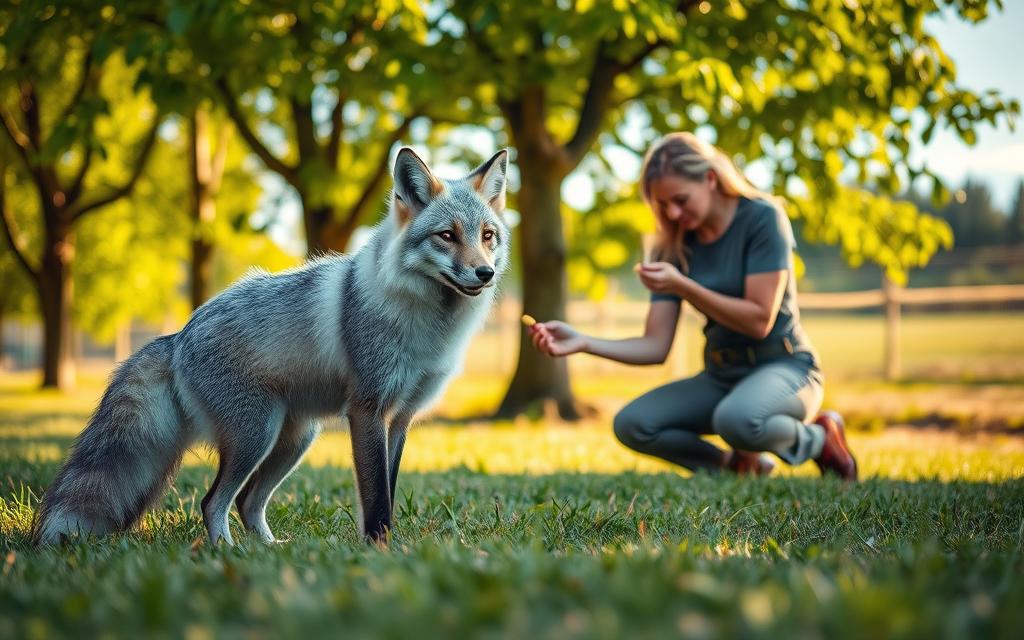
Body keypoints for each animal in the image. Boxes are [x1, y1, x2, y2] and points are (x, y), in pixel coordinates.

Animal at [33, 147, 511, 545]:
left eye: (487, 236)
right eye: (447, 236)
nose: (485, 273)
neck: (428, 327)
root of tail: (180, 334)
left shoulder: (402, 418)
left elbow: (388, 494)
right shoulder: (367, 410)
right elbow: (376, 500)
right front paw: (380, 551)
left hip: (293, 439)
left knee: (247, 503)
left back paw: (269, 550)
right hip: (255, 435)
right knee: (213, 502)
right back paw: (226, 553)